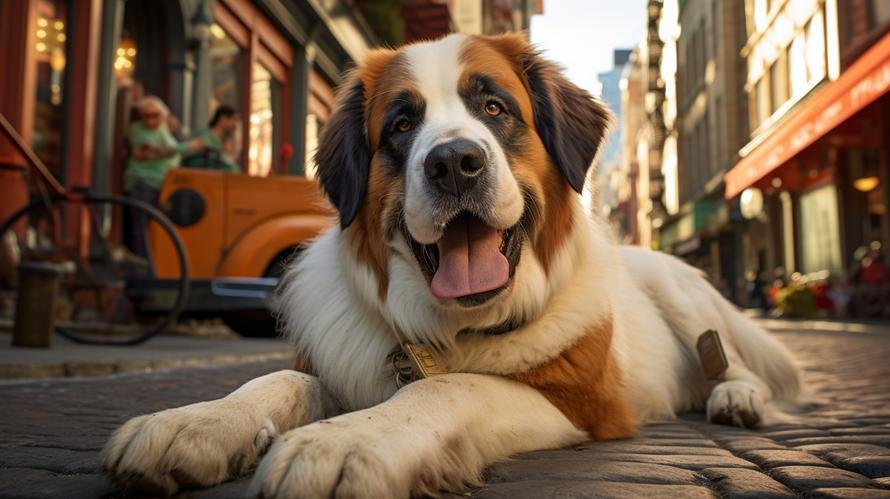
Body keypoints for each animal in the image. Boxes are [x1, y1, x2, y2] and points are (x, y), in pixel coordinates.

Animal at [100, 33, 800, 498]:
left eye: (493, 108)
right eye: (401, 125)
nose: (454, 163)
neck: (449, 326)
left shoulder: (587, 404)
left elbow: (446, 386)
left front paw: (346, 440)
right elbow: (282, 379)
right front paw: (197, 420)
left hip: (675, 285)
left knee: (723, 353)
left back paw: (735, 395)